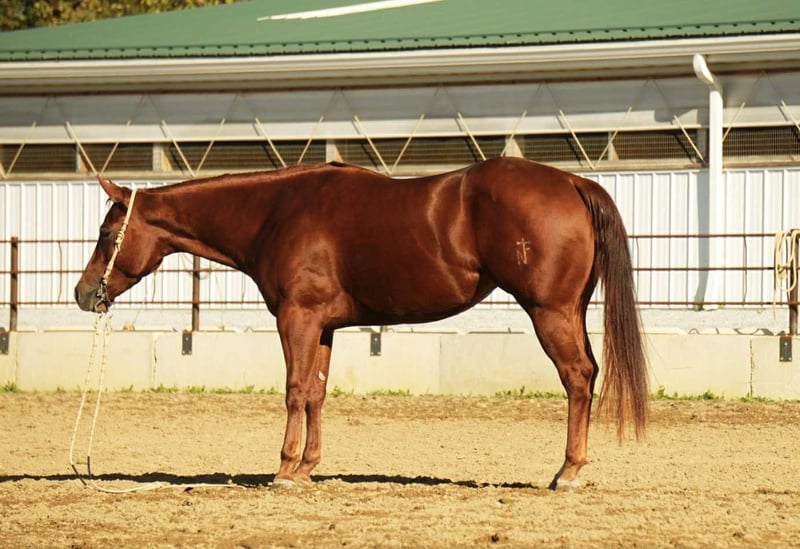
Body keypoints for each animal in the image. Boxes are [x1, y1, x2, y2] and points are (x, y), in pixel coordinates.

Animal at [75, 157, 648, 490]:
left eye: (105, 232)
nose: (83, 294)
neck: (276, 212)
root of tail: (572, 181)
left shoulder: (297, 318)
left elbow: (293, 390)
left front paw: (283, 470)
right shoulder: (325, 327)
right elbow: (315, 393)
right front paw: (307, 467)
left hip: (549, 312)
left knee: (577, 378)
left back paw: (567, 472)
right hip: (570, 310)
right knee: (587, 374)